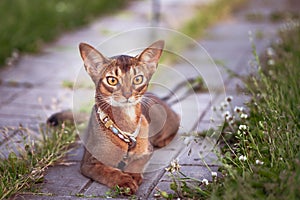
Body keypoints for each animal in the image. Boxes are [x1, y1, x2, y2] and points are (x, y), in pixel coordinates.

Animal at [48, 40, 179, 194]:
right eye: (112, 80)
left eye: (137, 79)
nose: (127, 94)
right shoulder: (90, 163)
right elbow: (108, 171)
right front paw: (125, 180)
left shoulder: (147, 151)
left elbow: (137, 162)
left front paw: (132, 175)